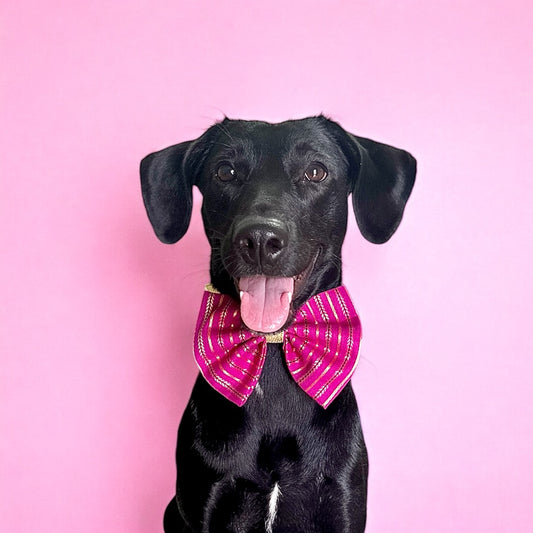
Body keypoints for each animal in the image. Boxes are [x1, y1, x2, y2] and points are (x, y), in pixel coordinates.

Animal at [141, 114, 416, 528]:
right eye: (225, 171)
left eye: (316, 171)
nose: (259, 239)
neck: (271, 348)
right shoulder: (207, 504)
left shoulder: (342, 503)